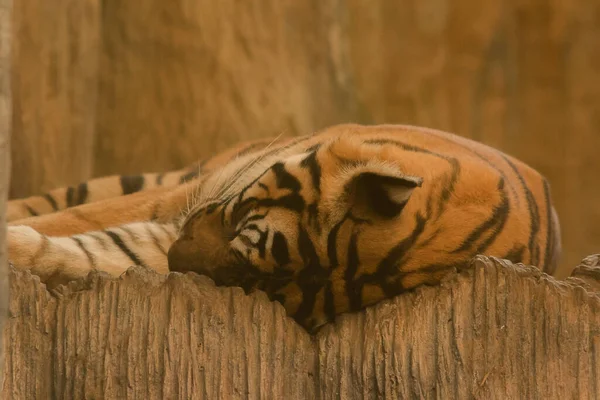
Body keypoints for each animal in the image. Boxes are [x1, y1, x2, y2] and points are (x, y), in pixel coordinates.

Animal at [5, 123, 564, 332]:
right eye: (236, 223)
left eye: (247, 280)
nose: (174, 264)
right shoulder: (182, 197)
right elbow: (77, 219)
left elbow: (96, 249)